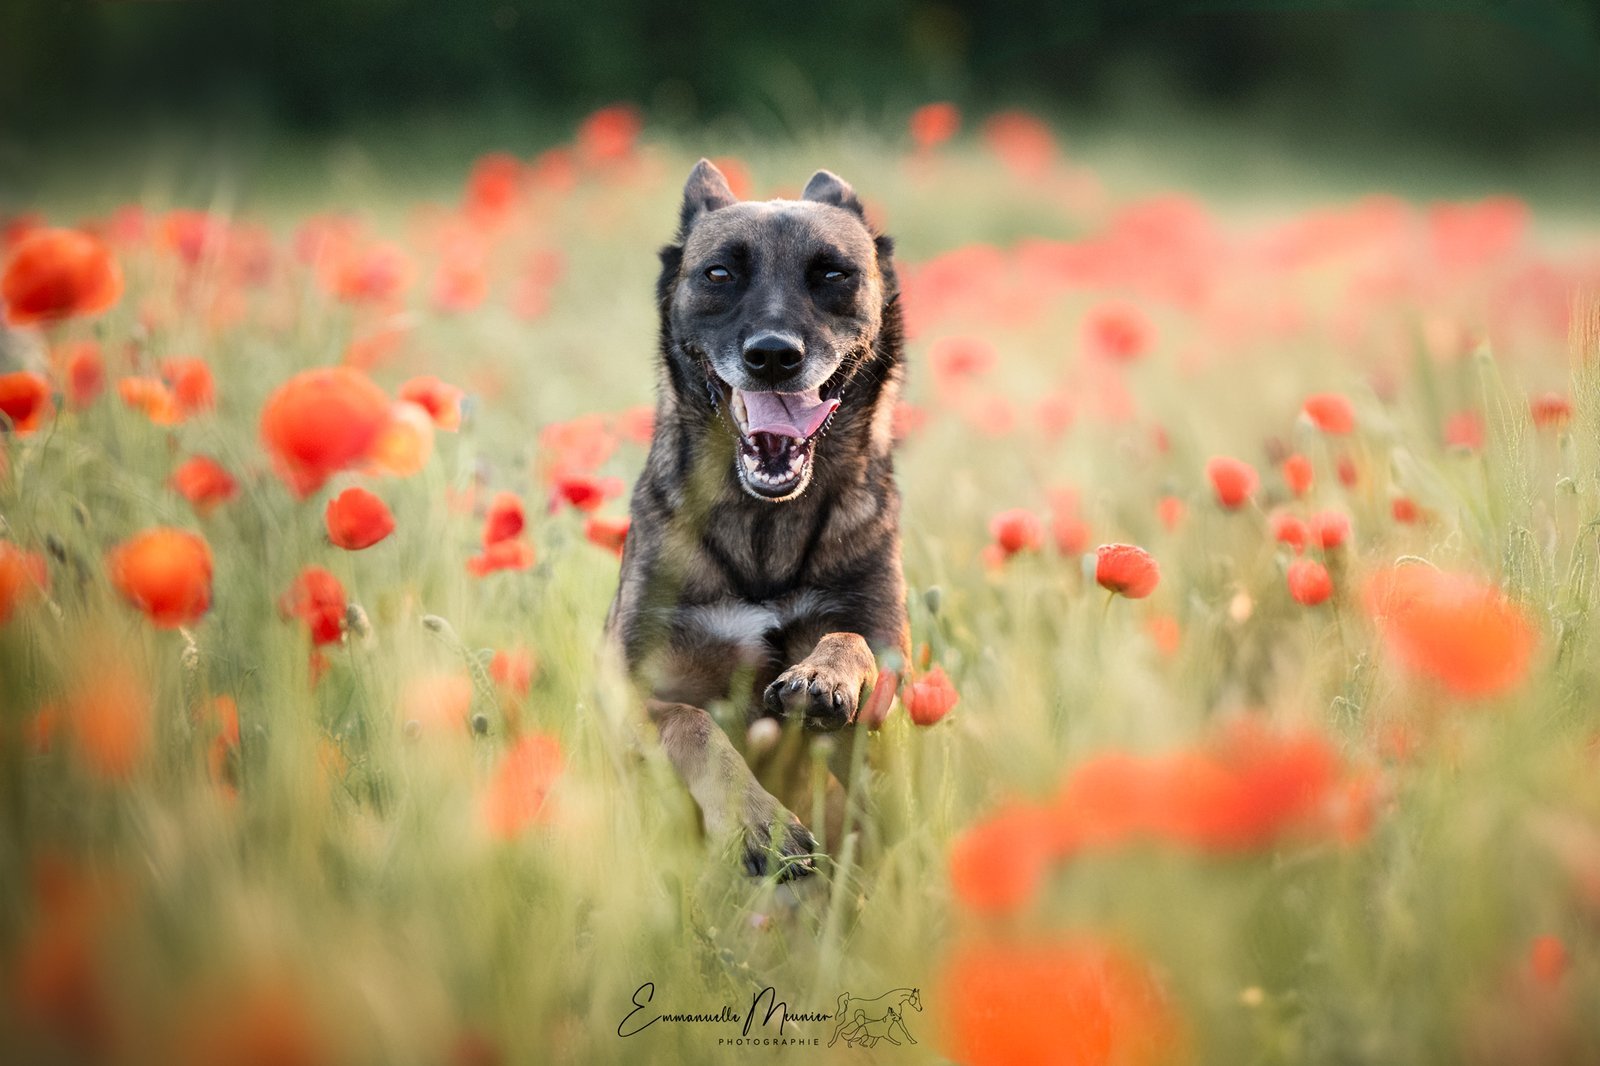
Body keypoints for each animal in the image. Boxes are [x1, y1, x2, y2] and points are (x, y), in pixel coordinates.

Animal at [601, 156, 908, 870]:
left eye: (832, 274)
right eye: (719, 274)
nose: (772, 357)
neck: (763, 528)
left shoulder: (888, 708)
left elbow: (851, 641)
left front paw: (822, 673)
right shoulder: (628, 702)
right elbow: (693, 724)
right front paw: (757, 821)